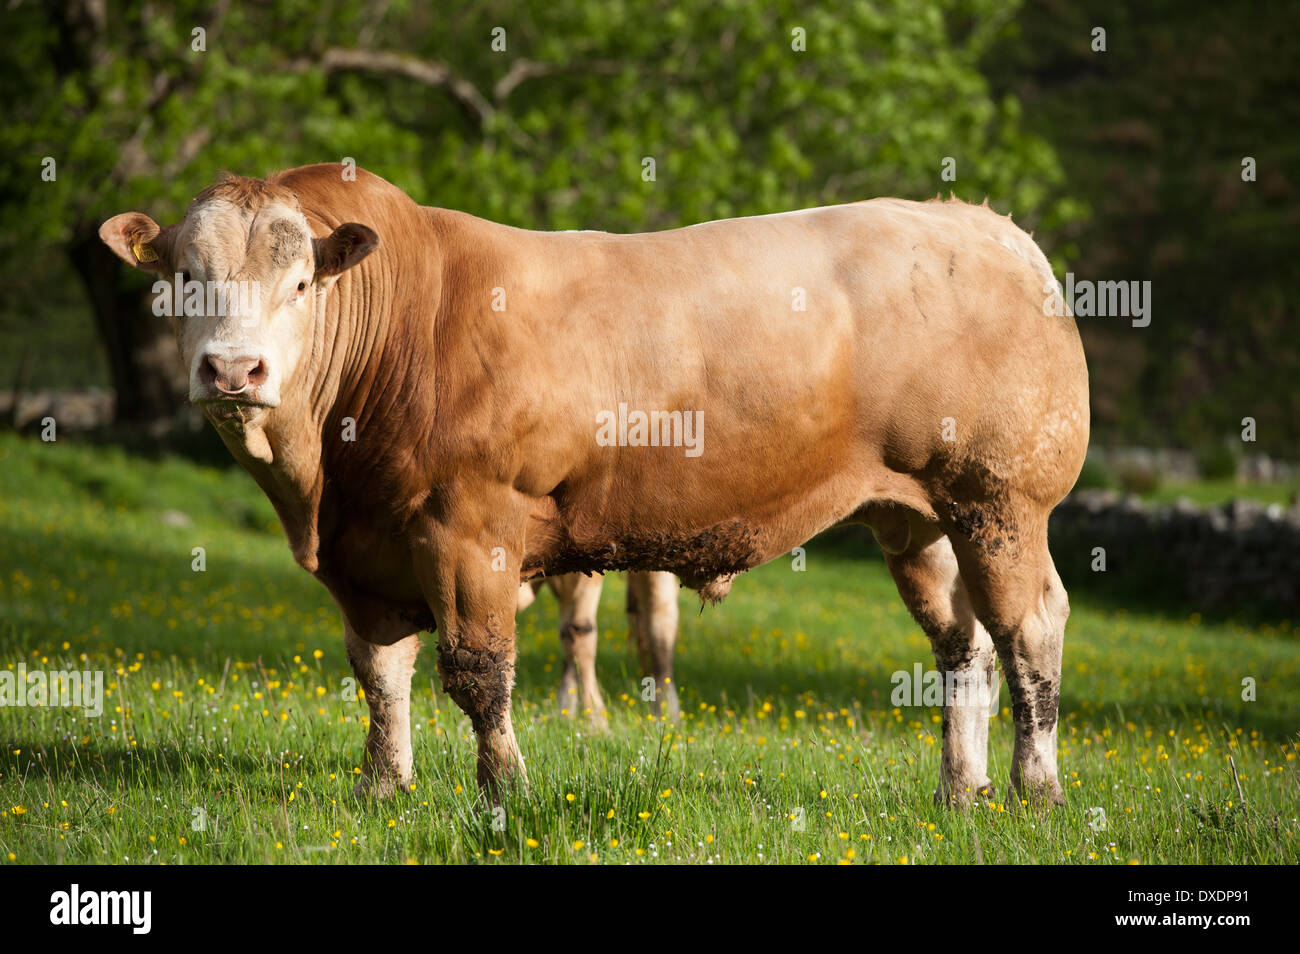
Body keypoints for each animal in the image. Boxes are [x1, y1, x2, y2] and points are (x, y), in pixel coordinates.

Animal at [101, 164, 1086, 805]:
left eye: (303, 281)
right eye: (184, 276)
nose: (235, 370)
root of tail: (985, 225)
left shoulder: (471, 527)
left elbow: (476, 672)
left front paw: (508, 793)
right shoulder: (363, 553)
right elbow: (381, 673)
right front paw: (384, 788)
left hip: (1001, 501)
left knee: (1029, 629)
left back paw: (1035, 789)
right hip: (918, 518)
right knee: (964, 645)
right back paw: (961, 788)